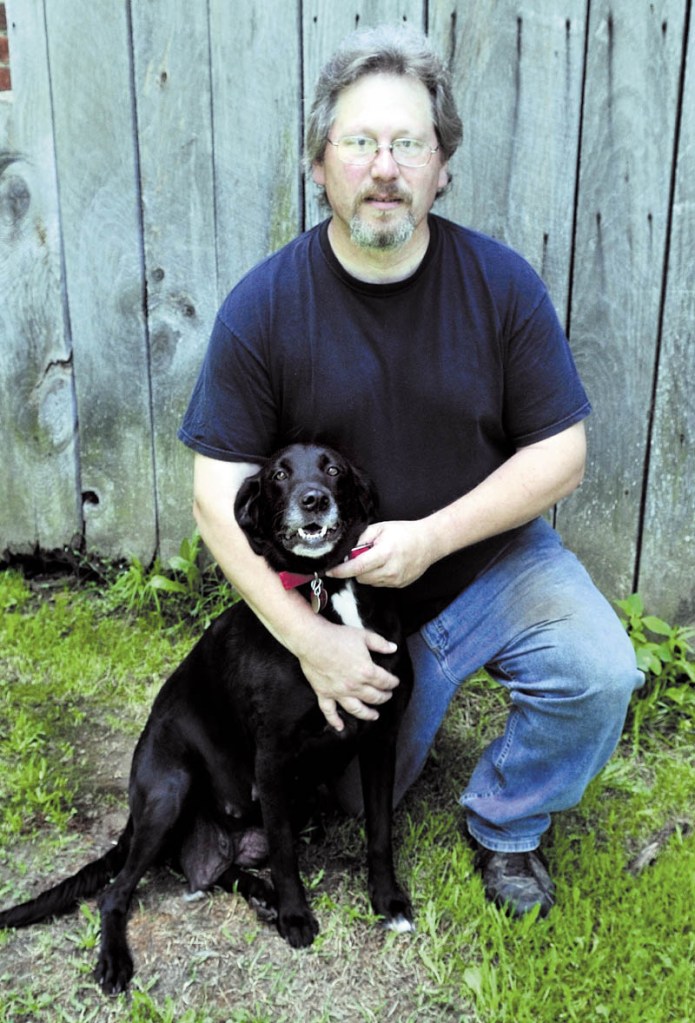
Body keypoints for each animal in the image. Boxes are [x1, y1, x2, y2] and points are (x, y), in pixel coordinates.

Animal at [0, 446, 413, 990]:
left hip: (289, 805)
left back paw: (259, 894)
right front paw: (296, 916)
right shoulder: (273, 759)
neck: (327, 586)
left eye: (333, 469)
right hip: (170, 792)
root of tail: (134, 814)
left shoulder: (381, 737)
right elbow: (285, 855)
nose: (313, 499)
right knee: (117, 891)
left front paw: (387, 901)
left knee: (212, 870)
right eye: (278, 474)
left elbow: (380, 833)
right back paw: (116, 961)